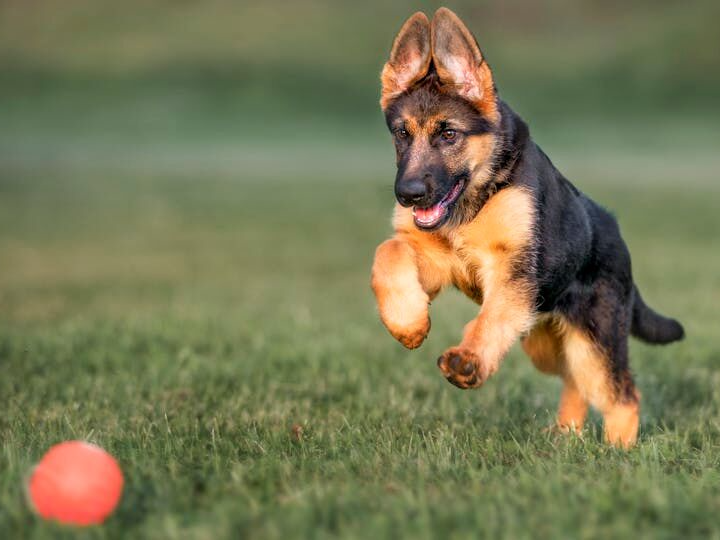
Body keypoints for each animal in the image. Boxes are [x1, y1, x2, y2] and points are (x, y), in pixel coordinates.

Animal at [374, 8, 684, 448]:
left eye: (448, 134)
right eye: (402, 133)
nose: (408, 194)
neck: (477, 197)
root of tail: (615, 231)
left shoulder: (514, 273)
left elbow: (491, 317)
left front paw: (469, 360)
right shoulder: (437, 261)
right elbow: (389, 251)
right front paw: (408, 323)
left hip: (594, 336)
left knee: (620, 391)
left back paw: (617, 449)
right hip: (544, 341)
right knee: (575, 379)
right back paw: (566, 434)